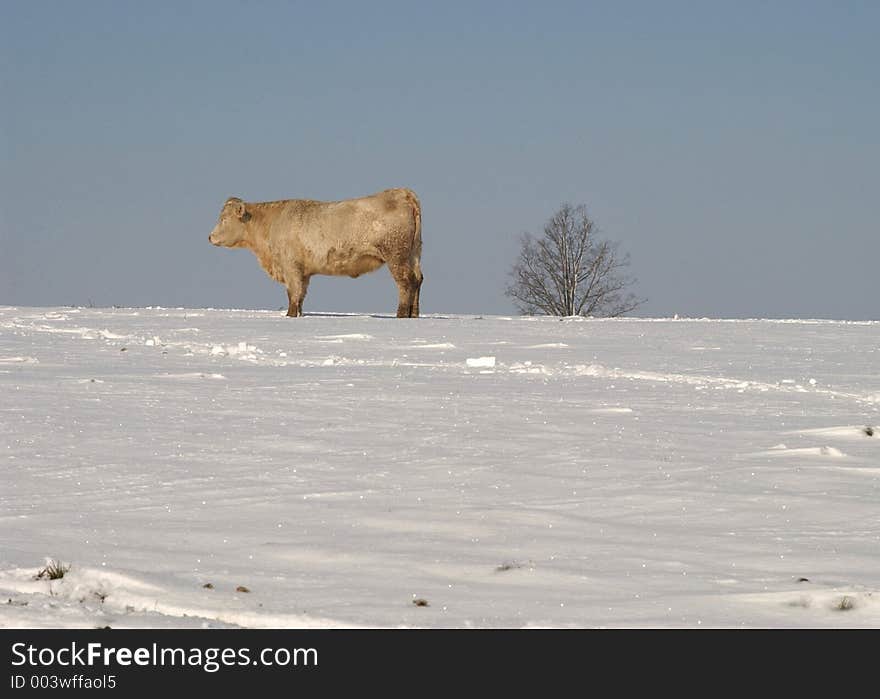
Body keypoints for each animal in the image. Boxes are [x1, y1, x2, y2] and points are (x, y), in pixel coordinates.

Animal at [210, 186, 422, 318]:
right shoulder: (304, 272)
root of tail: (403, 193)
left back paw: (401, 314)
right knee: (418, 280)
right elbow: (301, 296)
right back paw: (414, 314)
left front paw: (290, 315)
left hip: (396, 256)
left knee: (405, 283)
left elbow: (293, 294)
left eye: (224, 219)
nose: (210, 237)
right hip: (414, 254)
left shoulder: (291, 267)